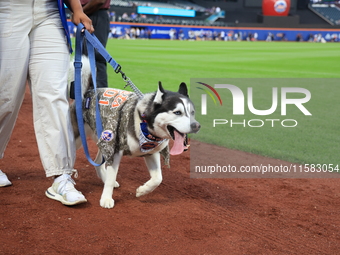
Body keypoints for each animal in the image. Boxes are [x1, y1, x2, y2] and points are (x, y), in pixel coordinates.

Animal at [70, 58, 201, 208]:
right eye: (177, 112)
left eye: (192, 112)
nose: (196, 126)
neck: (145, 127)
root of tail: (89, 92)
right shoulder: (116, 149)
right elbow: (112, 176)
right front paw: (106, 199)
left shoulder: (151, 153)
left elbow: (158, 178)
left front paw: (142, 190)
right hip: (82, 139)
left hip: (104, 139)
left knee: (98, 161)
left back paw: (103, 177)